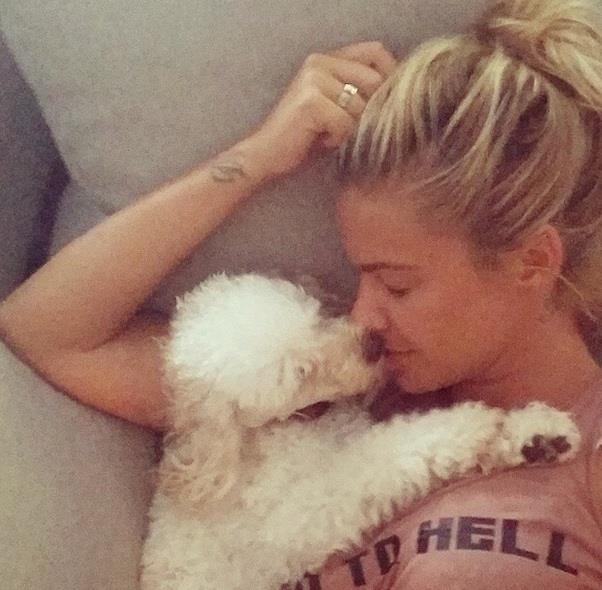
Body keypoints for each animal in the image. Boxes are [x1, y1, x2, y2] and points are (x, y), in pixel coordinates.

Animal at [139, 272, 580, 590]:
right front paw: (473, 427)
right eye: (302, 372)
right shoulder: (305, 514)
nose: (372, 344)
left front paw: (533, 436)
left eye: (315, 320)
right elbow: (385, 455)